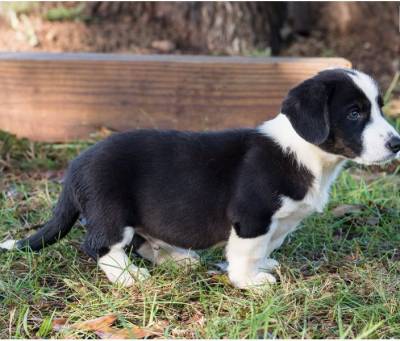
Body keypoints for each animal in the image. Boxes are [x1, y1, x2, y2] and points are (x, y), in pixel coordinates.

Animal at [0, 68, 400, 286]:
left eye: (379, 108)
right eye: (354, 113)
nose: (396, 144)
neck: (307, 154)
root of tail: (75, 166)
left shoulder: (279, 223)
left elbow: (267, 247)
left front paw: (264, 266)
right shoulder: (252, 218)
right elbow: (245, 253)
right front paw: (250, 282)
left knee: (140, 240)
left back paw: (176, 258)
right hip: (112, 212)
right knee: (100, 246)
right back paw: (129, 277)